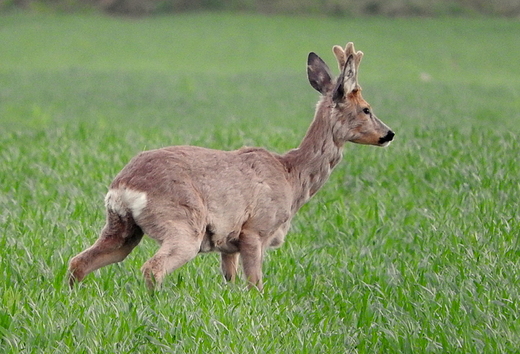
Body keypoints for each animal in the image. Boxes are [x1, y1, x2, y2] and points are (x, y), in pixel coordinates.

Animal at [69, 42, 394, 290]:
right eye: (367, 109)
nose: (388, 134)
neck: (291, 176)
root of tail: (123, 186)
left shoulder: (229, 245)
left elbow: (231, 280)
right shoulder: (255, 230)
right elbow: (255, 284)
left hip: (121, 226)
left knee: (79, 261)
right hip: (182, 222)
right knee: (152, 267)